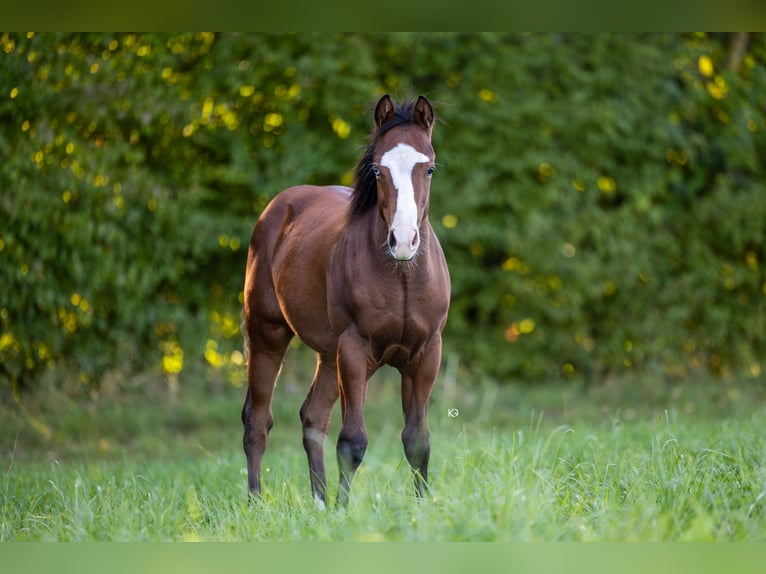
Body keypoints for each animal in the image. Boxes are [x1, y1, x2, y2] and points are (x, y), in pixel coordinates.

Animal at [241, 94, 450, 508]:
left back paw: (319, 504)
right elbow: (353, 441)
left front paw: (421, 509)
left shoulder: (426, 353)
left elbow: (417, 440)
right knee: (258, 419)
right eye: (377, 170)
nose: (403, 240)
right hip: (267, 333)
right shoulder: (354, 350)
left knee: (312, 417)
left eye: (430, 168)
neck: (402, 277)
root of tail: (279, 207)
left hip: (327, 354)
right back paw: (256, 504)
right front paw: (343, 511)